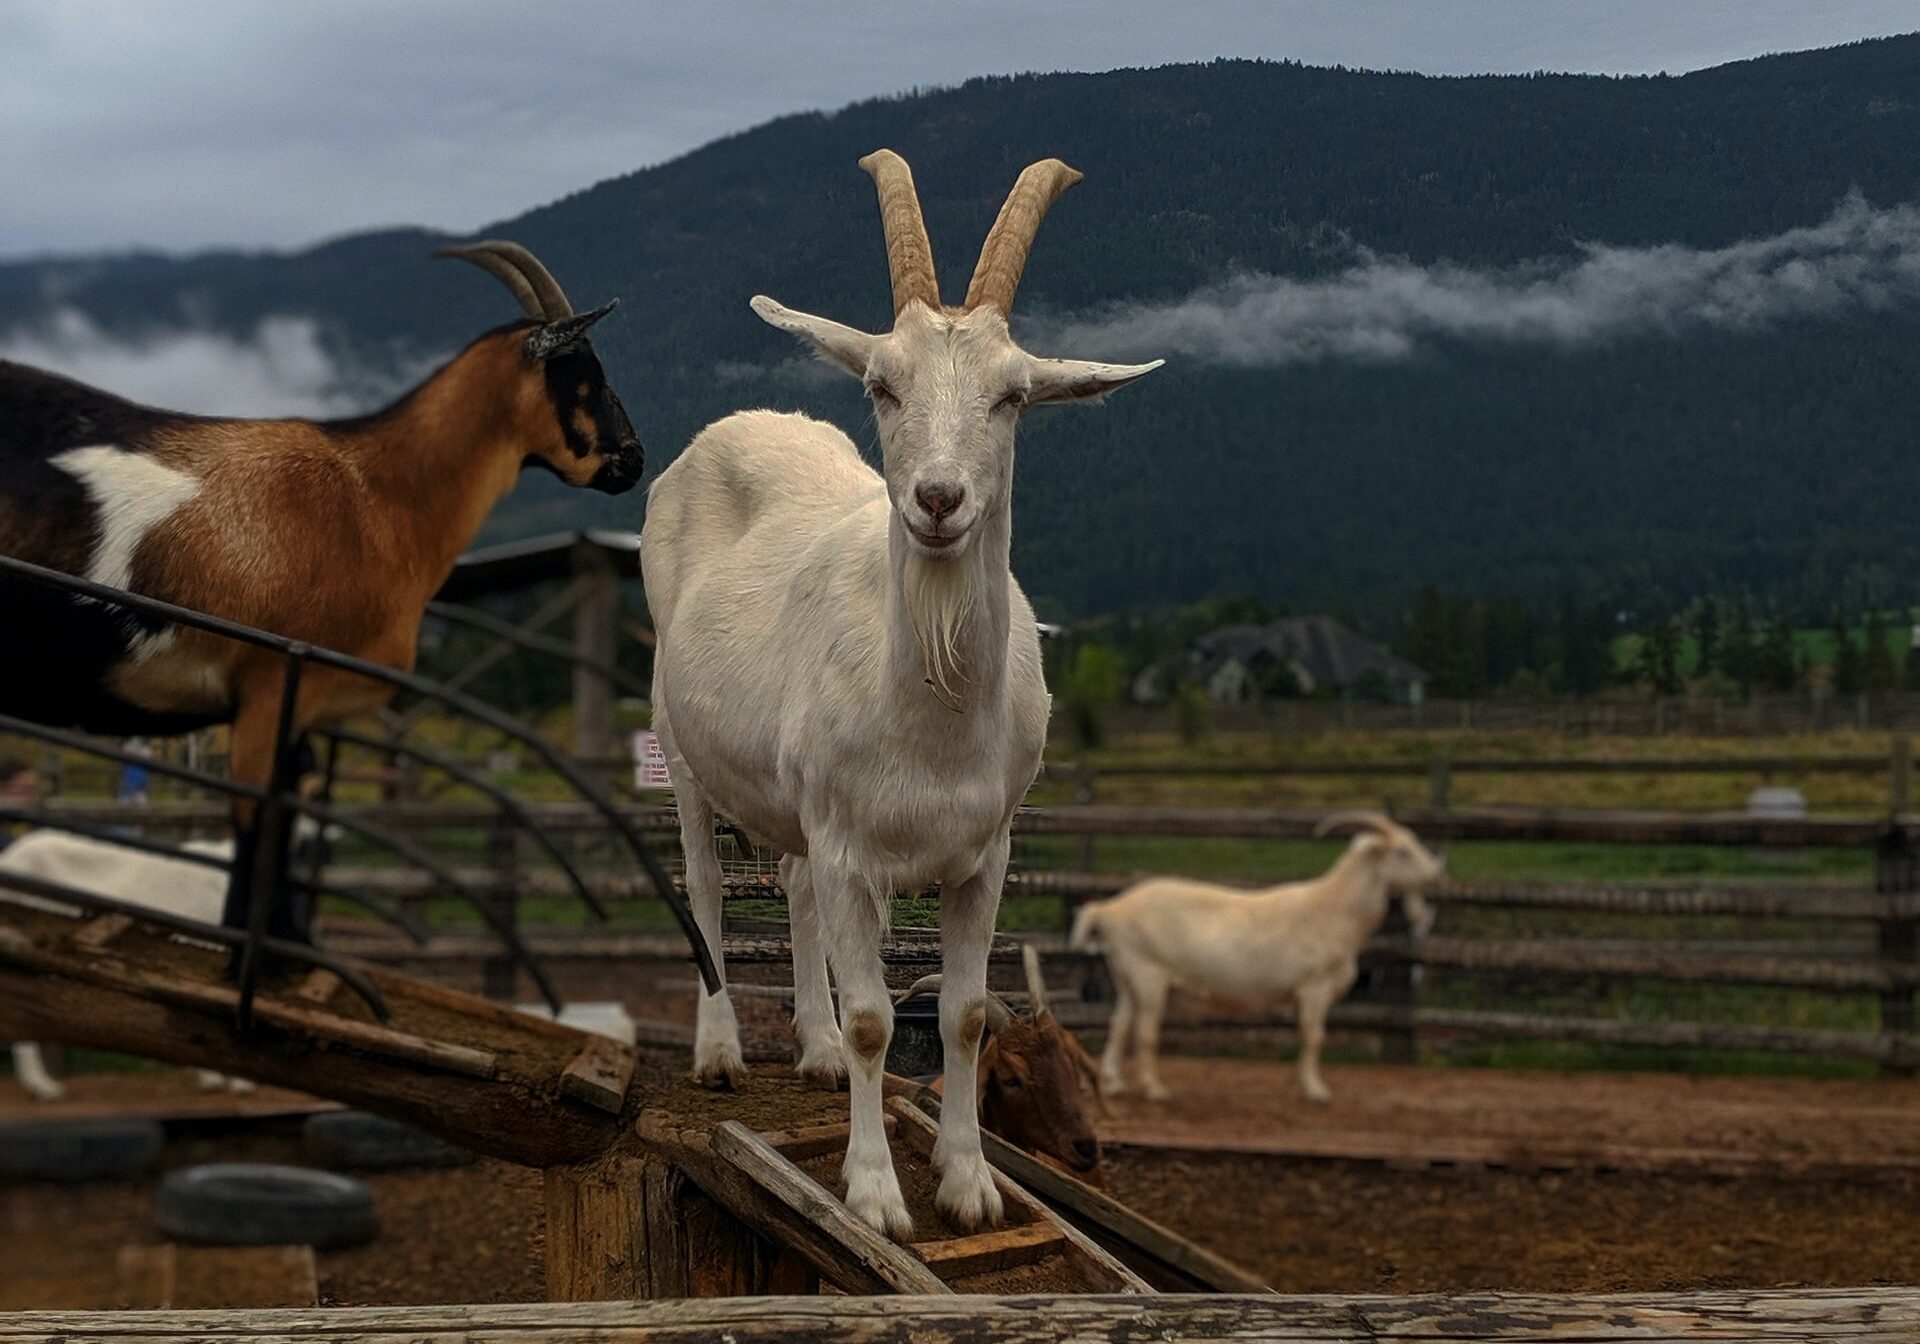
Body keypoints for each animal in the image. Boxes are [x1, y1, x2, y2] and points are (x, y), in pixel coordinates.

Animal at [641, 149, 1152, 1236]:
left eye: (1013, 397)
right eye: (882, 382)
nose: (938, 500)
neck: (931, 715)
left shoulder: (984, 852)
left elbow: (960, 1014)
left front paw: (968, 1184)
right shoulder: (851, 849)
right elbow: (882, 1019)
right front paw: (874, 1194)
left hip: (791, 792)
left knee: (788, 884)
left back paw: (816, 1051)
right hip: (680, 732)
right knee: (705, 883)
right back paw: (721, 1053)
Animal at [1067, 810, 1443, 1105]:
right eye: (1402, 851)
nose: (1438, 876)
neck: (1331, 911)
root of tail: (1111, 909)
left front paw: (1305, 1084)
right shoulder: (1314, 987)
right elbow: (1314, 1036)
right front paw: (1316, 1091)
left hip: (1126, 975)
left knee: (1119, 1024)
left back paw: (1114, 1084)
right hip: (1149, 974)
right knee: (1146, 1031)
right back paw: (1155, 1089)